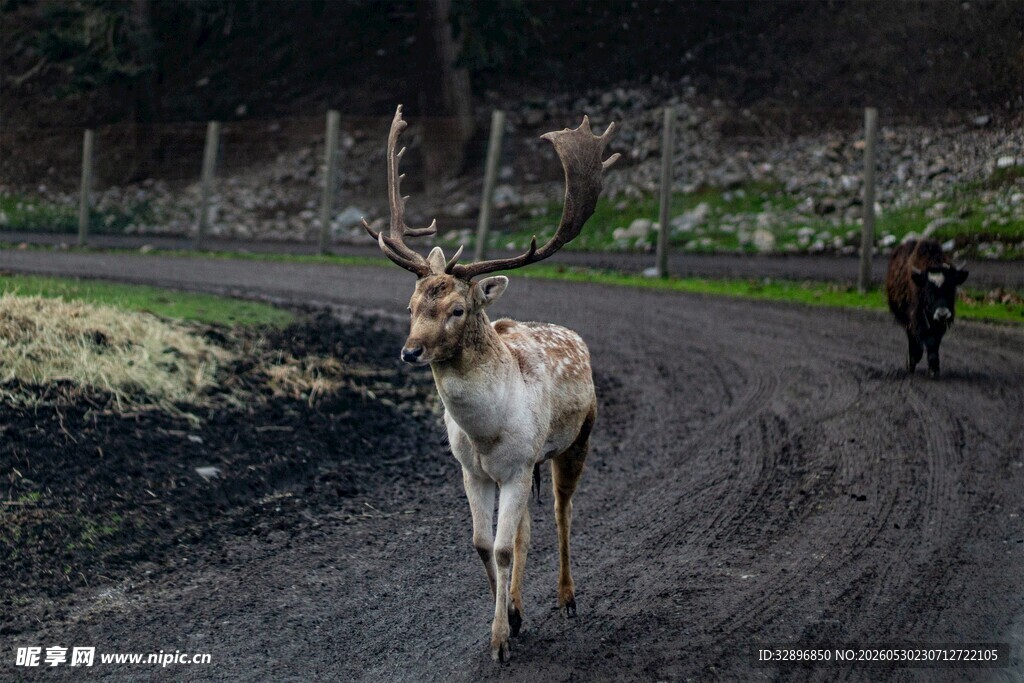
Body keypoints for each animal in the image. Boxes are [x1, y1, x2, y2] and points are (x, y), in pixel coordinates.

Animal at [362, 105, 618, 662]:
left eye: (457, 309)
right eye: (411, 305)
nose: (410, 351)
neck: (486, 431)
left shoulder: (519, 464)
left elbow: (501, 547)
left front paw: (500, 639)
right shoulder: (473, 471)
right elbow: (485, 545)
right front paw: (511, 618)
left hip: (576, 439)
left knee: (563, 513)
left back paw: (567, 599)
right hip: (525, 468)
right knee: (523, 531)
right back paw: (523, 603)